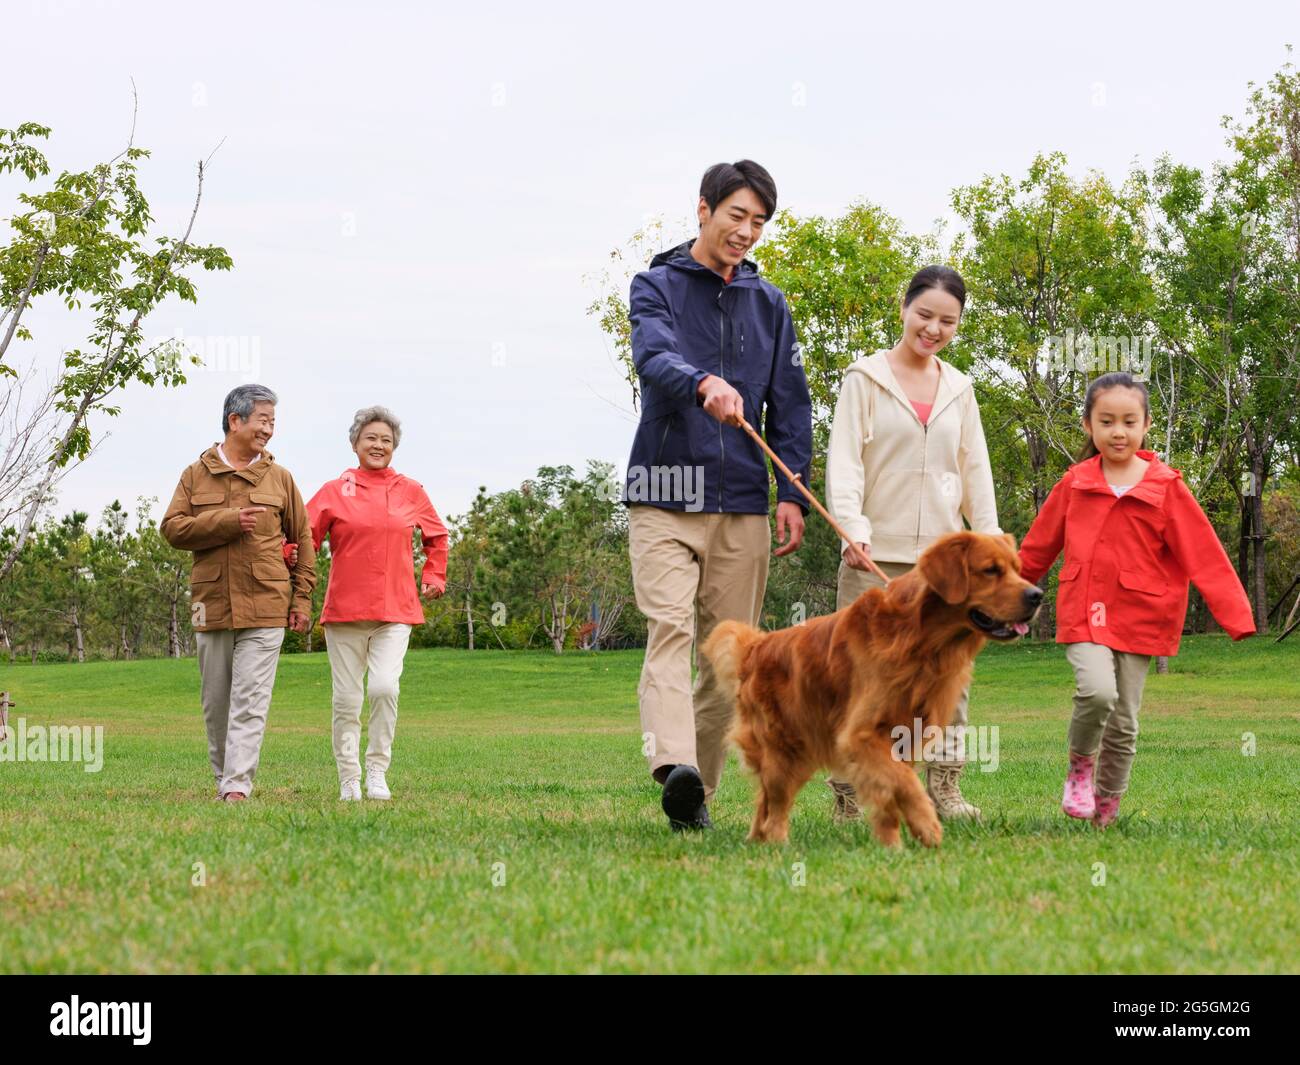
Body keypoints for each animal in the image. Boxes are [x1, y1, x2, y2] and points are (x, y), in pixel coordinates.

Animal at [707, 533, 1040, 847]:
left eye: (1017, 568)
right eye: (991, 570)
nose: (1036, 595)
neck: (919, 641)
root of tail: (756, 645)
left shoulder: (906, 737)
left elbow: (892, 791)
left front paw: (893, 844)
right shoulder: (861, 736)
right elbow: (906, 782)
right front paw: (927, 825)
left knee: (764, 803)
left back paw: (757, 841)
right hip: (784, 751)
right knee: (775, 806)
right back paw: (778, 844)